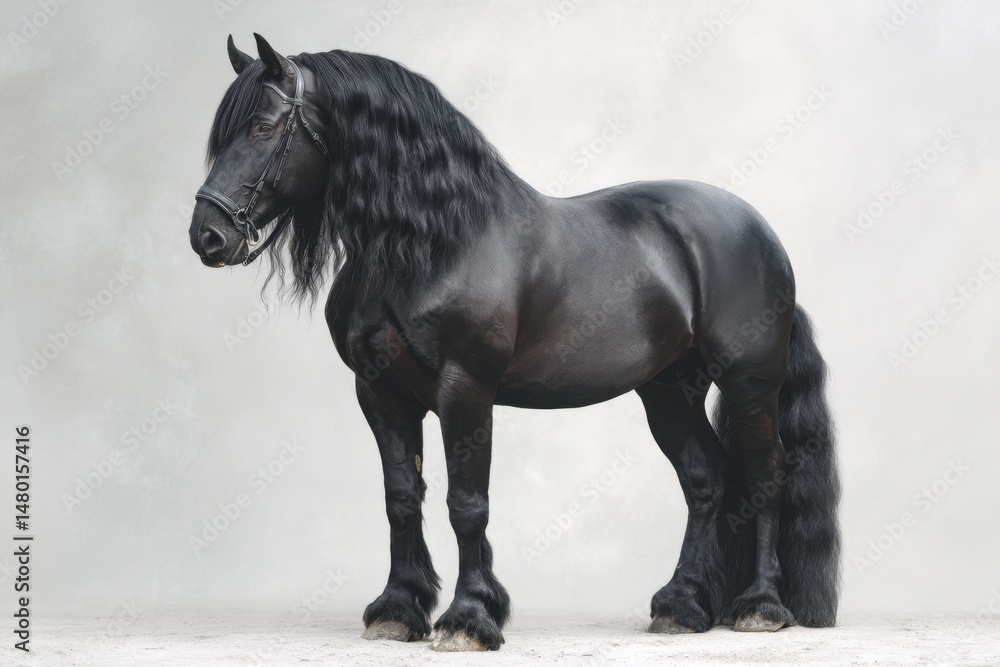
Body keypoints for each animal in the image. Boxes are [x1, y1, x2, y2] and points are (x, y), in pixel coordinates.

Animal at [189, 34, 841, 652]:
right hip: (668, 390)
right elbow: (401, 498)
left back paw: (760, 607)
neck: (433, 243)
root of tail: (761, 234)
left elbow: (466, 503)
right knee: (707, 480)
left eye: (263, 126)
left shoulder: (466, 389)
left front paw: (470, 618)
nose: (207, 236)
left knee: (764, 476)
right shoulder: (381, 395)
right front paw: (397, 610)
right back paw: (680, 607)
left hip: (749, 383)